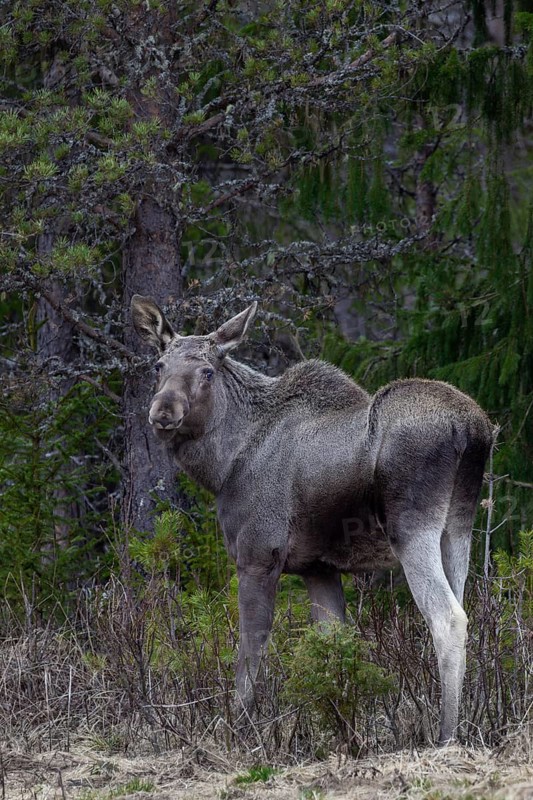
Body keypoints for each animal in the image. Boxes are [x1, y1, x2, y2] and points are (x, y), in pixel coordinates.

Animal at [130, 295, 494, 745]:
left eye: (207, 370)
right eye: (158, 365)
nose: (163, 411)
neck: (223, 465)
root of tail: (474, 430)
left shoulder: (258, 556)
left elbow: (250, 653)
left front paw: (241, 732)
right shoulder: (318, 568)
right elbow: (334, 648)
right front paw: (343, 735)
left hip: (412, 531)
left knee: (448, 618)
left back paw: (446, 737)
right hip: (457, 529)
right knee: (463, 606)